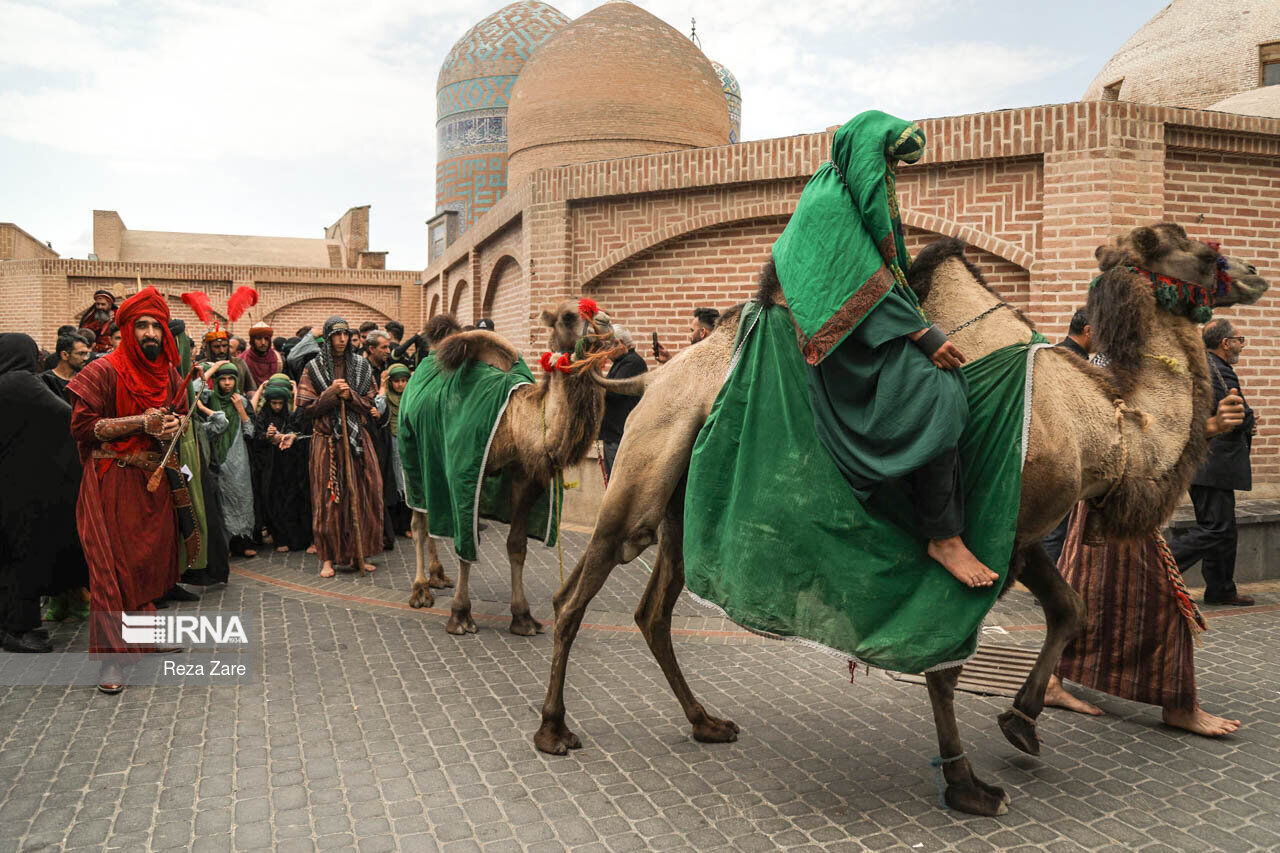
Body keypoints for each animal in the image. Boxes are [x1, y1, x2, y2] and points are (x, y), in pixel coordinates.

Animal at [401, 302, 616, 635]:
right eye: (568, 315)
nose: (605, 323)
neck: (514, 422)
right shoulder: (465, 474)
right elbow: (467, 545)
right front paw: (460, 615)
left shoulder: (525, 478)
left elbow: (517, 545)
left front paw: (523, 617)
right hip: (412, 455)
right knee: (418, 522)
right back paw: (421, 590)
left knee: (432, 519)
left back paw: (438, 576)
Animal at [532, 222, 1269, 814]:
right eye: (1203, 251)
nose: (1257, 274)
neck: (1103, 425)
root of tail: (654, 376)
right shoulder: (993, 534)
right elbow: (946, 663)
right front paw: (969, 786)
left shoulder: (1025, 533)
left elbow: (1071, 608)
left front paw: (1023, 721)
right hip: (641, 475)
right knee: (574, 596)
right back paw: (554, 730)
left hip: (683, 510)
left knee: (653, 611)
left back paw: (707, 722)